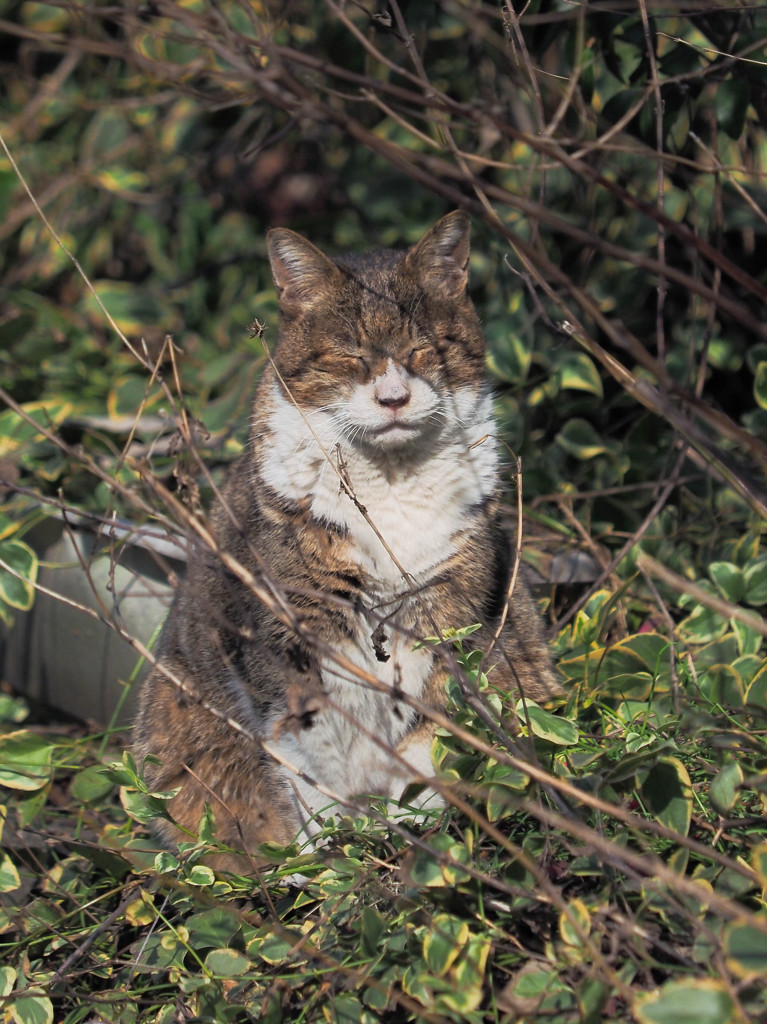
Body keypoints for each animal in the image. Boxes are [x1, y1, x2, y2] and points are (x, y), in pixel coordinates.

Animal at [134, 209, 561, 872]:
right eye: (349, 356)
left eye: (421, 350)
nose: (393, 398)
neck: (391, 485)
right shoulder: (290, 637)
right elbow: (310, 752)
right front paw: (332, 858)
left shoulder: (447, 611)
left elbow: (428, 728)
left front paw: (415, 830)